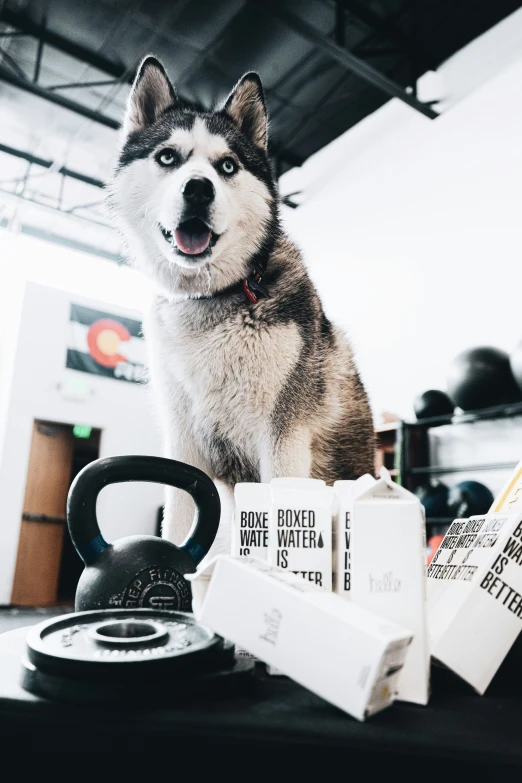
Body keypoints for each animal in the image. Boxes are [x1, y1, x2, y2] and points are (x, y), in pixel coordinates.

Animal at [108, 56, 374, 544]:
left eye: (227, 165)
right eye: (168, 157)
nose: (198, 188)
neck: (210, 299)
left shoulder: (284, 437)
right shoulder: (183, 444)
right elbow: (176, 524)